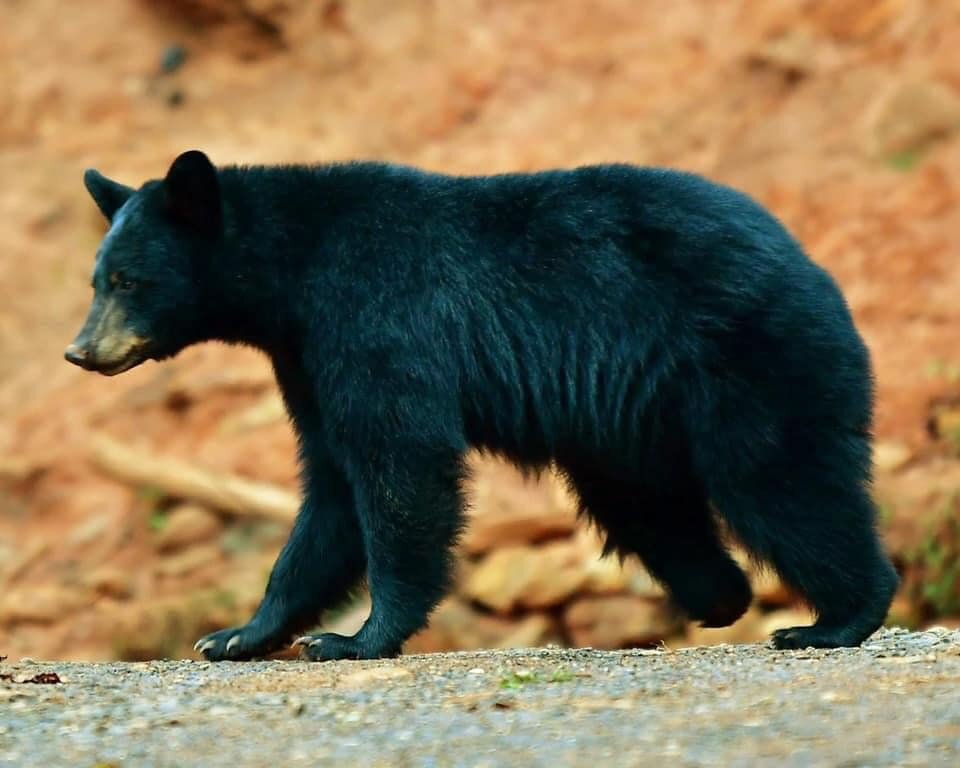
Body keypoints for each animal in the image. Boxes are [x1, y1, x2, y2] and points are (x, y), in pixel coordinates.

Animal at [66, 149, 898, 661]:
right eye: (97, 278)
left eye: (130, 280)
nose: (81, 351)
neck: (292, 274)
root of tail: (812, 267)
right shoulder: (304, 358)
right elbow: (330, 487)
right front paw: (238, 635)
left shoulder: (375, 317)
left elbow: (400, 468)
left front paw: (355, 639)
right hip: (630, 426)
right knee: (650, 506)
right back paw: (721, 597)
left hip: (749, 359)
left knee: (782, 481)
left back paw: (836, 619)